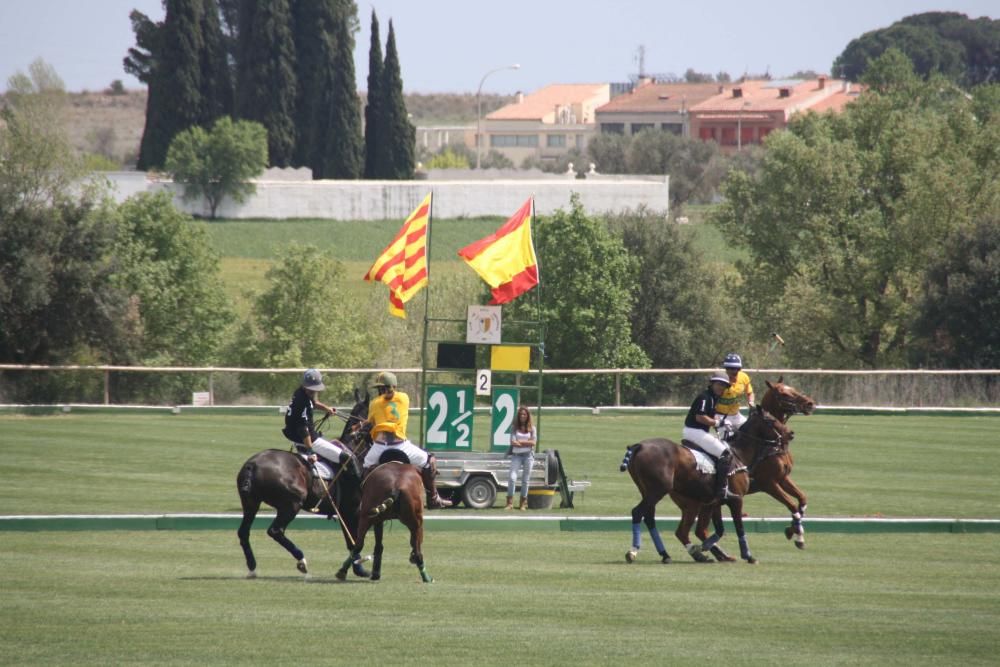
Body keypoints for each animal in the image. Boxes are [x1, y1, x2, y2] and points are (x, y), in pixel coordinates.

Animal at [234, 392, 372, 580]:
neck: (356, 449)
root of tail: (252, 465)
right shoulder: (352, 511)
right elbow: (355, 541)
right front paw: (359, 568)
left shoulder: (344, 512)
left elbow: (351, 541)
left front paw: (357, 568)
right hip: (292, 503)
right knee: (275, 530)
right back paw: (301, 561)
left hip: (250, 502)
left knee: (243, 532)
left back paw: (252, 567)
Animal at [620, 410, 792, 568]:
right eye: (771, 420)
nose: (790, 434)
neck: (739, 454)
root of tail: (640, 446)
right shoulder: (736, 500)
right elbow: (738, 527)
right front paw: (749, 556)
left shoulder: (714, 503)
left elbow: (717, 529)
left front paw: (707, 548)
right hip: (658, 491)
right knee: (638, 513)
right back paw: (633, 551)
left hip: (655, 493)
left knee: (657, 521)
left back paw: (670, 555)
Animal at [748, 378, 816, 552]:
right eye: (784, 394)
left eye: (793, 388)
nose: (810, 403)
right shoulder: (768, 483)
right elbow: (792, 505)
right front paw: (798, 535)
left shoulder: (783, 478)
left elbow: (801, 500)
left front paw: (792, 530)